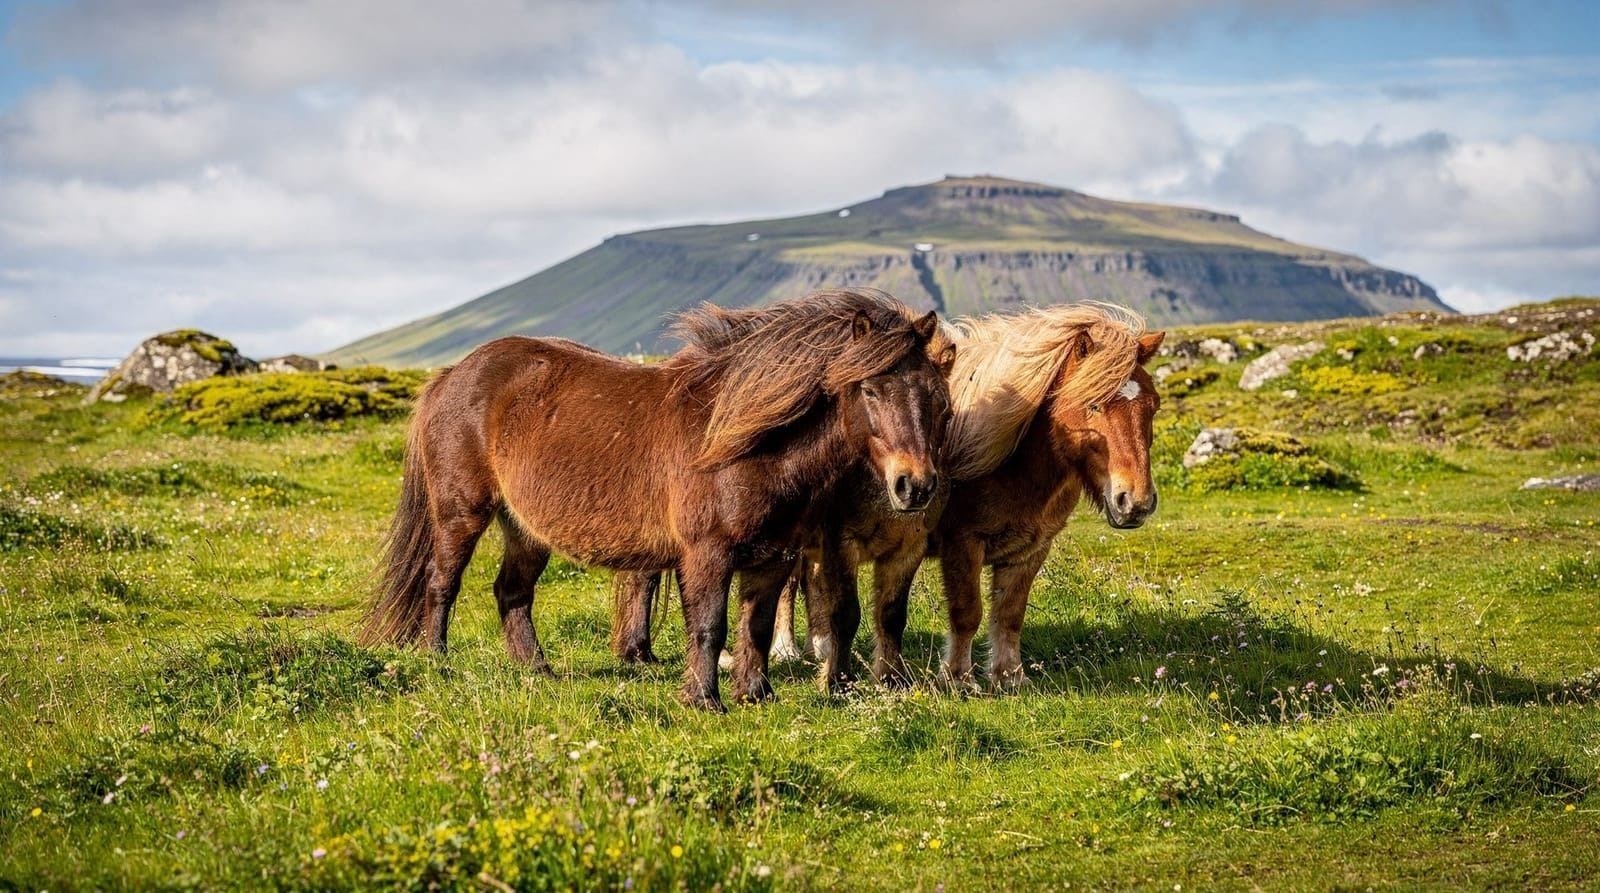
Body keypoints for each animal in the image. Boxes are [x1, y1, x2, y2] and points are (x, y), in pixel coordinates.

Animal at [360, 288, 950, 711]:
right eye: (869, 389)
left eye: (933, 394)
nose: (915, 485)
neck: (747, 444)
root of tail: (451, 376)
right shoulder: (707, 553)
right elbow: (709, 624)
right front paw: (704, 699)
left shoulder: (774, 557)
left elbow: (756, 625)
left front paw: (757, 694)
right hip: (462, 513)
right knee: (442, 583)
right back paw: (437, 661)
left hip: (525, 527)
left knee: (512, 593)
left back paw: (538, 670)